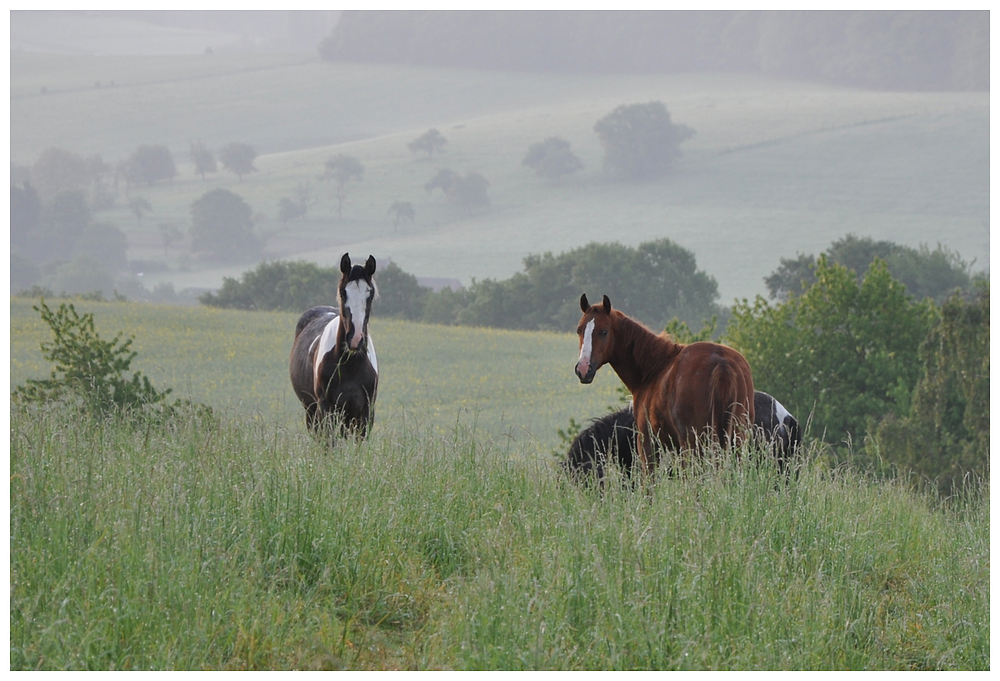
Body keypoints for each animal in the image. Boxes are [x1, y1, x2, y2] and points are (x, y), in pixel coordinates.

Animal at [292, 252, 382, 438]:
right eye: (342, 293)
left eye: (370, 295)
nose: (355, 339)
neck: (351, 366)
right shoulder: (326, 409)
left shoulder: (366, 411)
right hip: (311, 411)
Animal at [576, 292, 752, 472]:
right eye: (579, 330)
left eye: (604, 332)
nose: (583, 369)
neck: (653, 369)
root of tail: (721, 362)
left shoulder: (647, 443)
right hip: (736, 440)